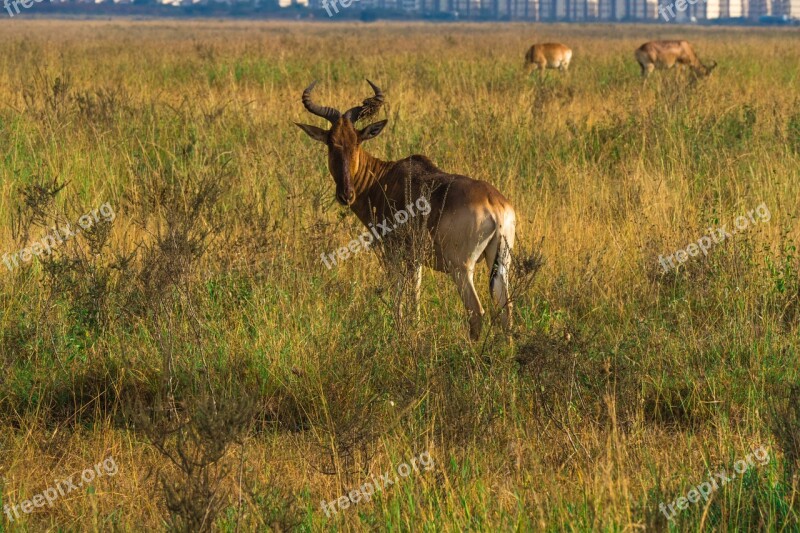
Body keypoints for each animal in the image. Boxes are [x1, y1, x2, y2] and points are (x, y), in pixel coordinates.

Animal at [296, 81, 516, 338]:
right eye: (332, 142)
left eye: (357, 141)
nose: (346, 194)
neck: (384, 177)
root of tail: (495, 206)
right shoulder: (416, 259)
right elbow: (415, 296)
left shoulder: (392, 253)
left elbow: (398, 292)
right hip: (501, 264)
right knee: (506, 311)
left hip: (461, 268)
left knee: (476, 311)